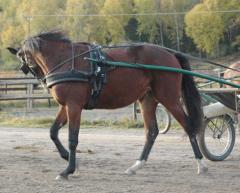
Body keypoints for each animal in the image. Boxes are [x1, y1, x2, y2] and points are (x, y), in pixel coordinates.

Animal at [6, 29, 207, 179]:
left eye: (22, 59)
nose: (42, 81)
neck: (66, 60)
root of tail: (170, 53)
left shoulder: (73, 105)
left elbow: (72, 138)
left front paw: (68, 170)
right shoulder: (65, 106)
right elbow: (53, 132)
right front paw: (68, 159)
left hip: (169, 98)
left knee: (189, 126)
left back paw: (201, 163)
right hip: (148, 99)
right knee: (151, 132)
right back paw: (136, 166)